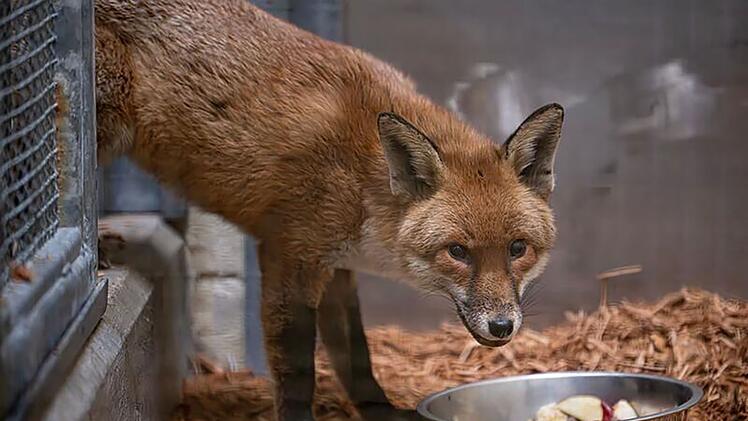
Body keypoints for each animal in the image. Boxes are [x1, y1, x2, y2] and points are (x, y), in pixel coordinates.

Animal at [93, 0, 564, 420]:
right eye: (458, 252)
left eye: (518, 249)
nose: (502, 326)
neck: (363, 182)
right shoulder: (290, 256)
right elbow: (298, 373)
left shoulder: (339, 268)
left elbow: (355, 357)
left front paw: (382, 412)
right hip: (108, 121)